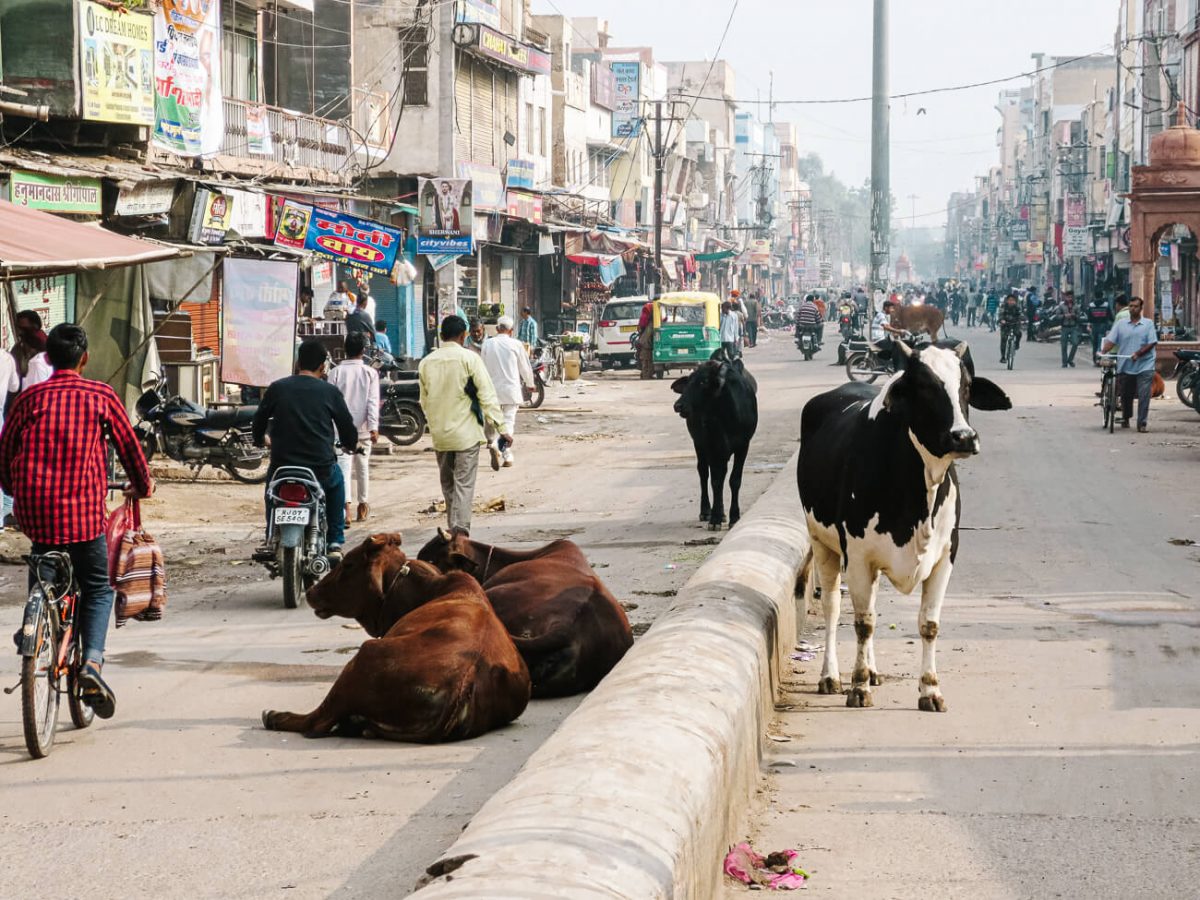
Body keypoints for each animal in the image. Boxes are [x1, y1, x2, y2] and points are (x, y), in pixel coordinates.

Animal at [262, 540, 530, 744]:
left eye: (348, 564)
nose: (311, 592)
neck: (429, 589)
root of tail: (463, 683)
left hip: (364, 656)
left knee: (316, 722)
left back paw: (274, 715)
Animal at [672, 352, 753, 532]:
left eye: (703, 382)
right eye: (688, 382)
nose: (678, 405)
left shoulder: (743, 446)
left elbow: (734, 480)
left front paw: (734, 517)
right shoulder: (713, 445)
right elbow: (716, 481)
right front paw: (715, 518)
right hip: (700, 445)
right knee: (704, 473)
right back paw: (706, 511)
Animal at [796, 343, 1012, 710]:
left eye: (967, 386)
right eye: (924, 387)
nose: (964, 436)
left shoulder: (945, 556)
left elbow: (928, 624)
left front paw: (930, 690)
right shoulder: (858, 557)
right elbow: (862, 623)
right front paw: (858, 688)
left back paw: (873, 671)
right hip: (821, 542)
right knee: (833, 608)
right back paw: (831, 676)